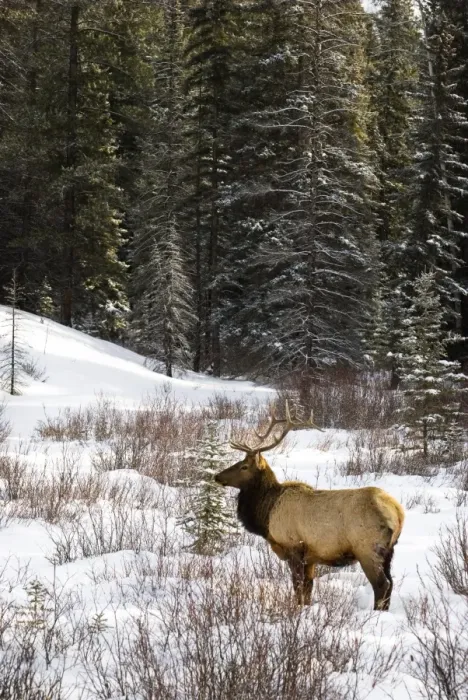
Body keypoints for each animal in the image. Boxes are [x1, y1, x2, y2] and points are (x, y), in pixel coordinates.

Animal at [214, 402, 405, 611]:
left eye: (244, 467)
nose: (217, 476)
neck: (267, 514)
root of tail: (398, 513)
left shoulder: (293, 547)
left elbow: (297, 586)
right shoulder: (311, 556)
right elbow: (308, 588)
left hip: (368, 548)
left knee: (382, 584)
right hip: (389, 551)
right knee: (391, 583)